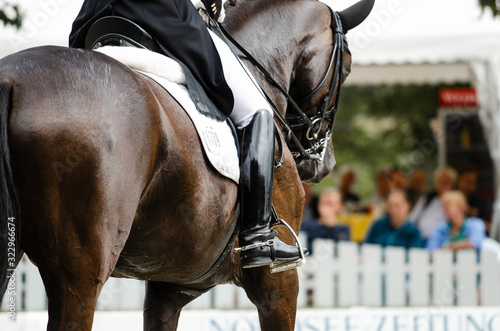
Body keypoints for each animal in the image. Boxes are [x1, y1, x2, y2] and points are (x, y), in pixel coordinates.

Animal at [0, 0, 372, 330]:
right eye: (348, 67)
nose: (325, 162)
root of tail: (11, 80)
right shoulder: (278, 284)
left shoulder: (170, 287)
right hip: (79, 277)